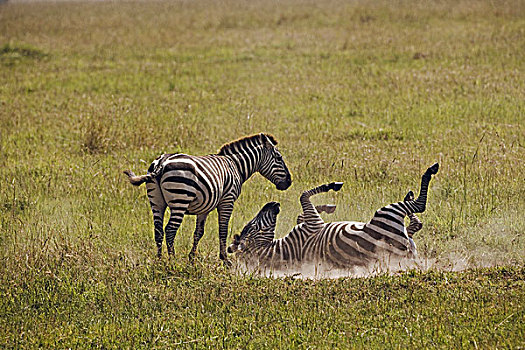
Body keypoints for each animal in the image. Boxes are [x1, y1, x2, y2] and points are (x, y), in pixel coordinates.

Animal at [125, 133, 292, 264]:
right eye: (279, 158)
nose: (289, 182)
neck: (235, 166)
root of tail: (162, 162)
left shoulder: (204, 207)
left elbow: (198, 232)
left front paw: (192, 258)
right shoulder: (227, 200)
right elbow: (223, 229)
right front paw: (225, 259)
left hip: (156, 201)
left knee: (158, 230)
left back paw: (160, 260)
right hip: (180, 199)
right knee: (170, 230)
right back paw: (172, 261)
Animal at [229, 163, 438, 274]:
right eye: (251, 226)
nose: (273, 204)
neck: (280, 249)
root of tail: (405, 255)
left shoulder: (310, 222)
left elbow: (301, 212)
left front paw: (326, 207)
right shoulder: (313, 224)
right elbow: (304, 196)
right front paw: (332, 187)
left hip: (405, 238)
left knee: (416, 223)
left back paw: (409, 196)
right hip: (386, 214)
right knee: (419, 208)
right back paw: (429, 173)